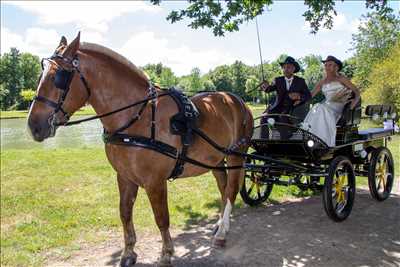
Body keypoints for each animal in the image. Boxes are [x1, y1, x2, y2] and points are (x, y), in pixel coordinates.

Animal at [27, 32, 253, 266]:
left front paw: (166, 253)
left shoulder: (155, 182)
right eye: (41, 76)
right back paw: (219, 225)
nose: (34, 126)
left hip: (236, 155)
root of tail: (234, 99)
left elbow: (161, 218)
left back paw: (222, 233)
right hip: (215, 160)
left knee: (231, 190)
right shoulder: (125, 177)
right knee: (223, 187)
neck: (137, 117)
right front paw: (128, 252)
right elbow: (125, 212)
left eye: (58, 77)